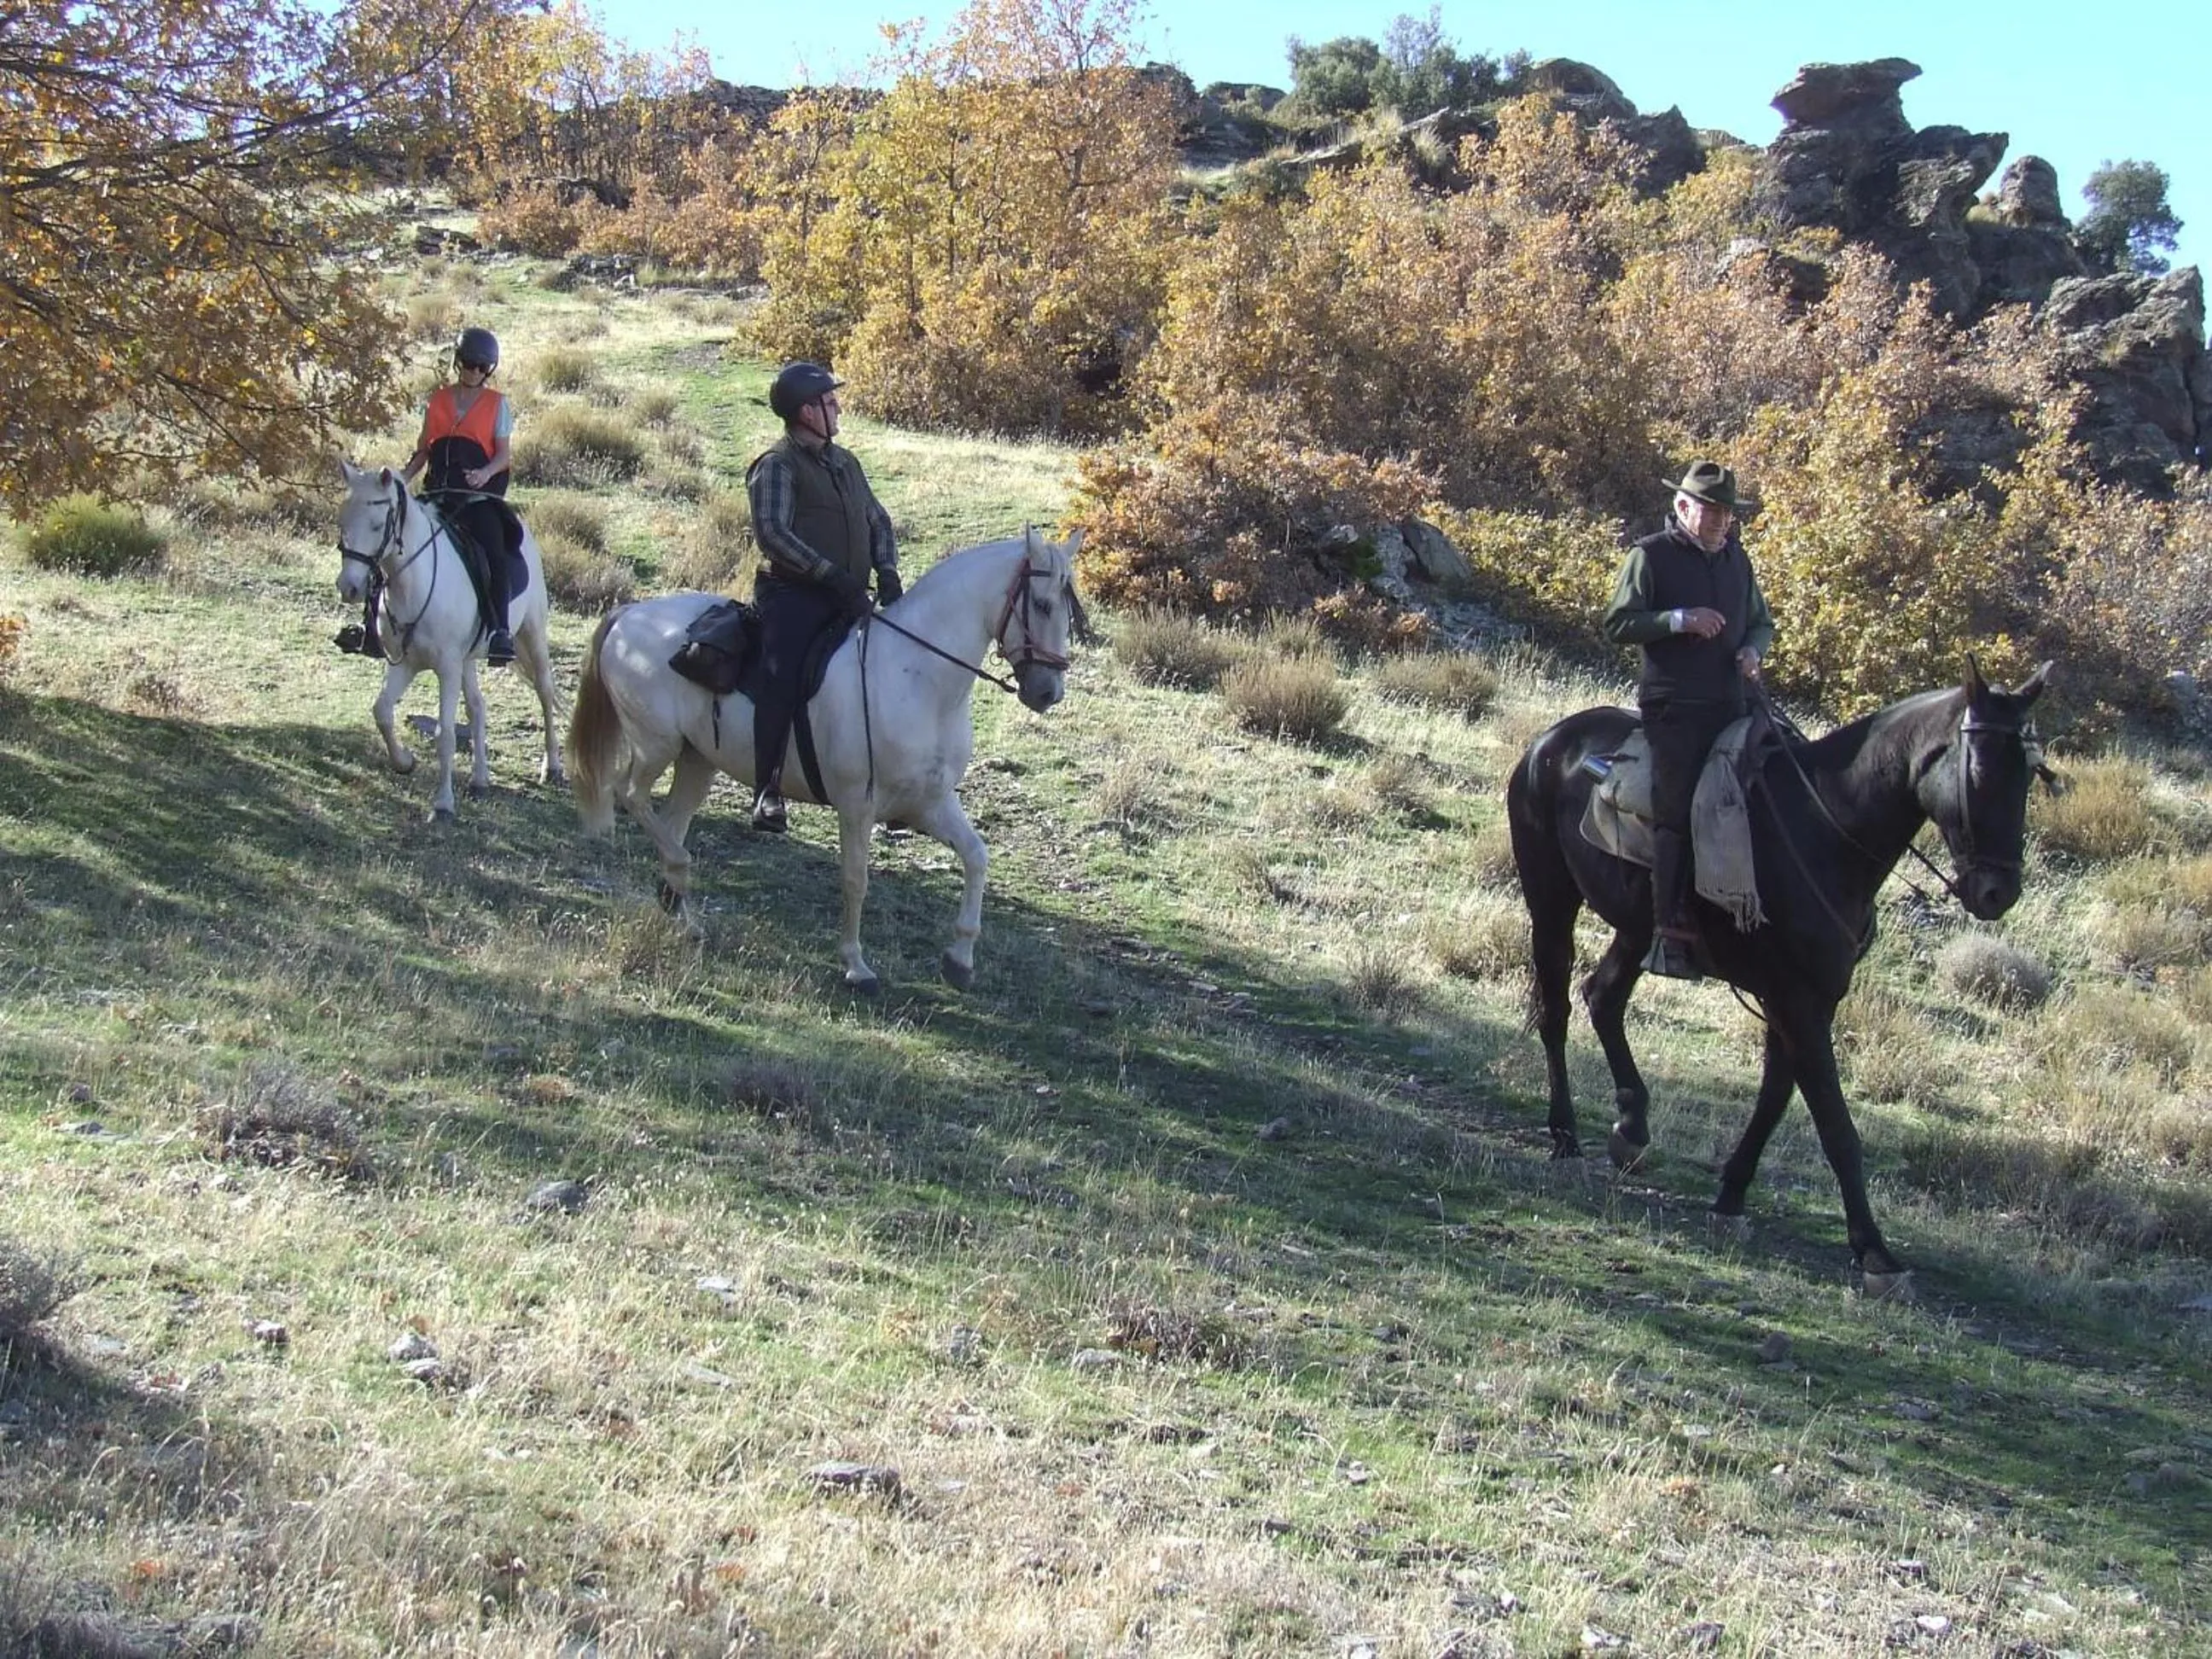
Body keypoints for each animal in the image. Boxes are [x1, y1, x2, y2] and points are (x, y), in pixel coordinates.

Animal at [335, 460, 565, 821]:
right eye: (342, 520)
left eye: (376, 525)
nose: (350, 588)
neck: (414, 586)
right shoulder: (405, 664)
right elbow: (382, 712)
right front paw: (404, 762)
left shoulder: (446, 669)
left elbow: (444, 736)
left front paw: (443, 805)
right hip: (468, 661)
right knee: (478, 708)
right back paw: (480, 779)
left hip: (532, 634)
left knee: (545, 693)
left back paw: (552, 767)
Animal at [565, 527, 1083, 992]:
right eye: (1041, 605)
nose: (1048, 693)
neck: (917, 678)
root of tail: (630, 614)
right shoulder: (857, 805)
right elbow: (855, 880)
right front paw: (855, 964)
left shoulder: (931, 803)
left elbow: (976, 858)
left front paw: (959, 959)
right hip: (657, 745)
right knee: (628, 794)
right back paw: (681, 871)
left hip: (697, 761)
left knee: (671, 820)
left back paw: (683, 914)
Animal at [1506, 660, 2054, 1296]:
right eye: (1981, 771)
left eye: (2031, 774)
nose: (1997, 892)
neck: (1827, 832)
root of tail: (1550, 742)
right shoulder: (1797, 1002)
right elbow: (1836, 1125)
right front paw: (1875, 1251)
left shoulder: (1805, 1000)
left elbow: (1774, 1098)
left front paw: (1731, 1196)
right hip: (1551, 901)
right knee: (1557, 1010)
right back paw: (1565, 1133)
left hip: (1639, 930)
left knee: (1603, 998)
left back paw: (1631, 1126)